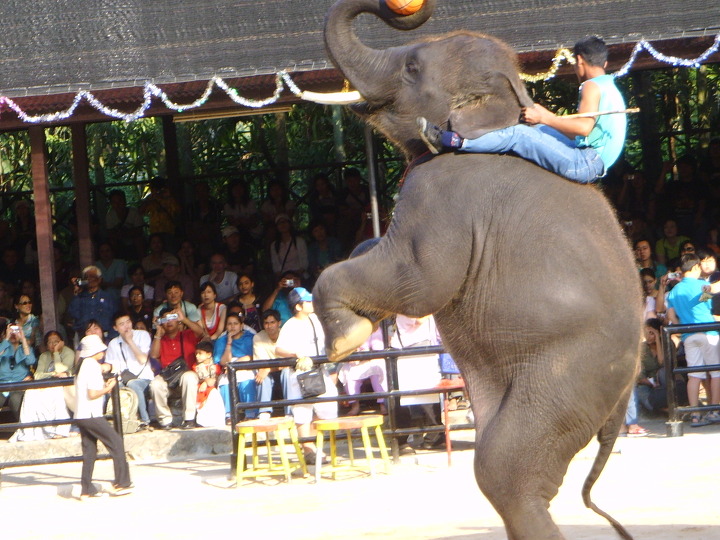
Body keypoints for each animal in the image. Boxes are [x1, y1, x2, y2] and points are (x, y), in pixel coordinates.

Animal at [313, 1, 642, 539]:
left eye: (412, 68)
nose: (399, 10)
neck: (505, 110)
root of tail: (628, 387)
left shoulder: (445, 192)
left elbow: (420, 284)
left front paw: (344, 340)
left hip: (568, 375)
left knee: (503, 470)